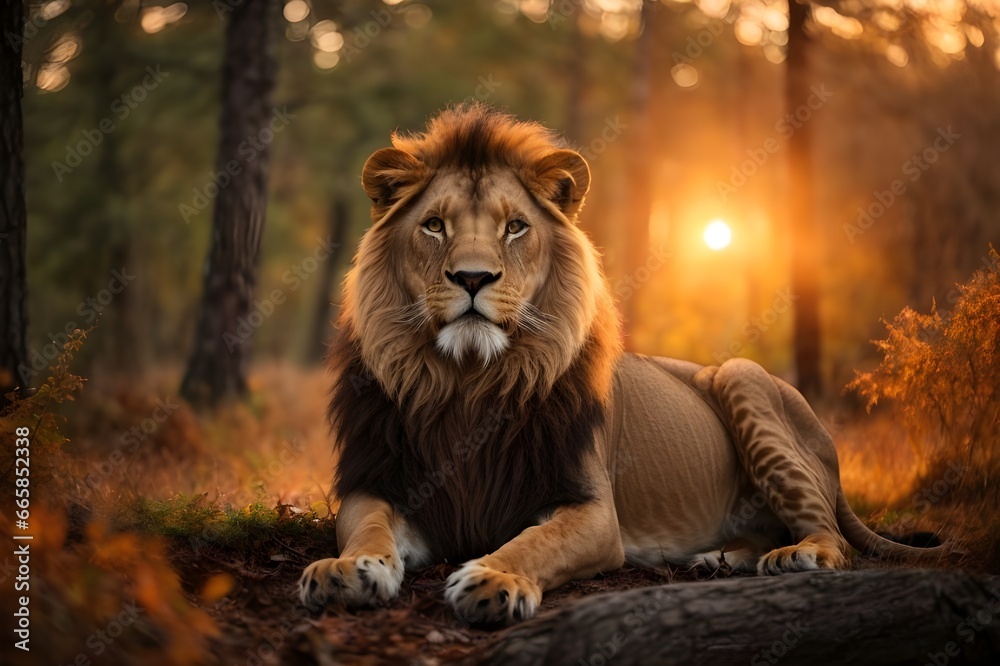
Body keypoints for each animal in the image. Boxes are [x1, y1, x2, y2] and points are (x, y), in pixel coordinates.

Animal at [298, 103, 944, 625]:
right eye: (434, 225)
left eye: (515, 227)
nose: (474, 278)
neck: (468, 383)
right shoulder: (377, 481)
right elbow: (367, 529)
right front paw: (344, 571)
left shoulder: (592, 510)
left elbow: (533, 543)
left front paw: (494, 578)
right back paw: (718, 558)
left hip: (741, 376)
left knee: (835, 539)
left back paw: (795, 555)